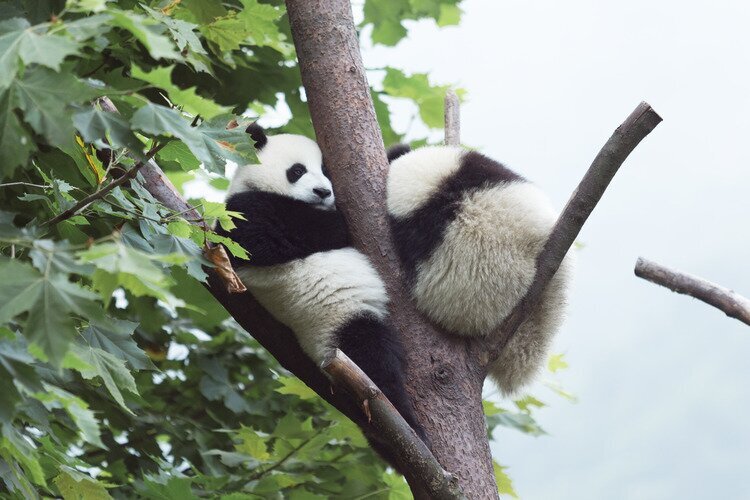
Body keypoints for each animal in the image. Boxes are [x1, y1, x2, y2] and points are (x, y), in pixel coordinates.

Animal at [216, 124, 425, 443]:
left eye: (327, 170)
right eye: (297, 170)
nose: (323, 192)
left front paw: (400, 152)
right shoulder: (243, 213)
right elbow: (265, 237)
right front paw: (335, 222)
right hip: (337, 325)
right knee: (373, 358)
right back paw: (411, 428)